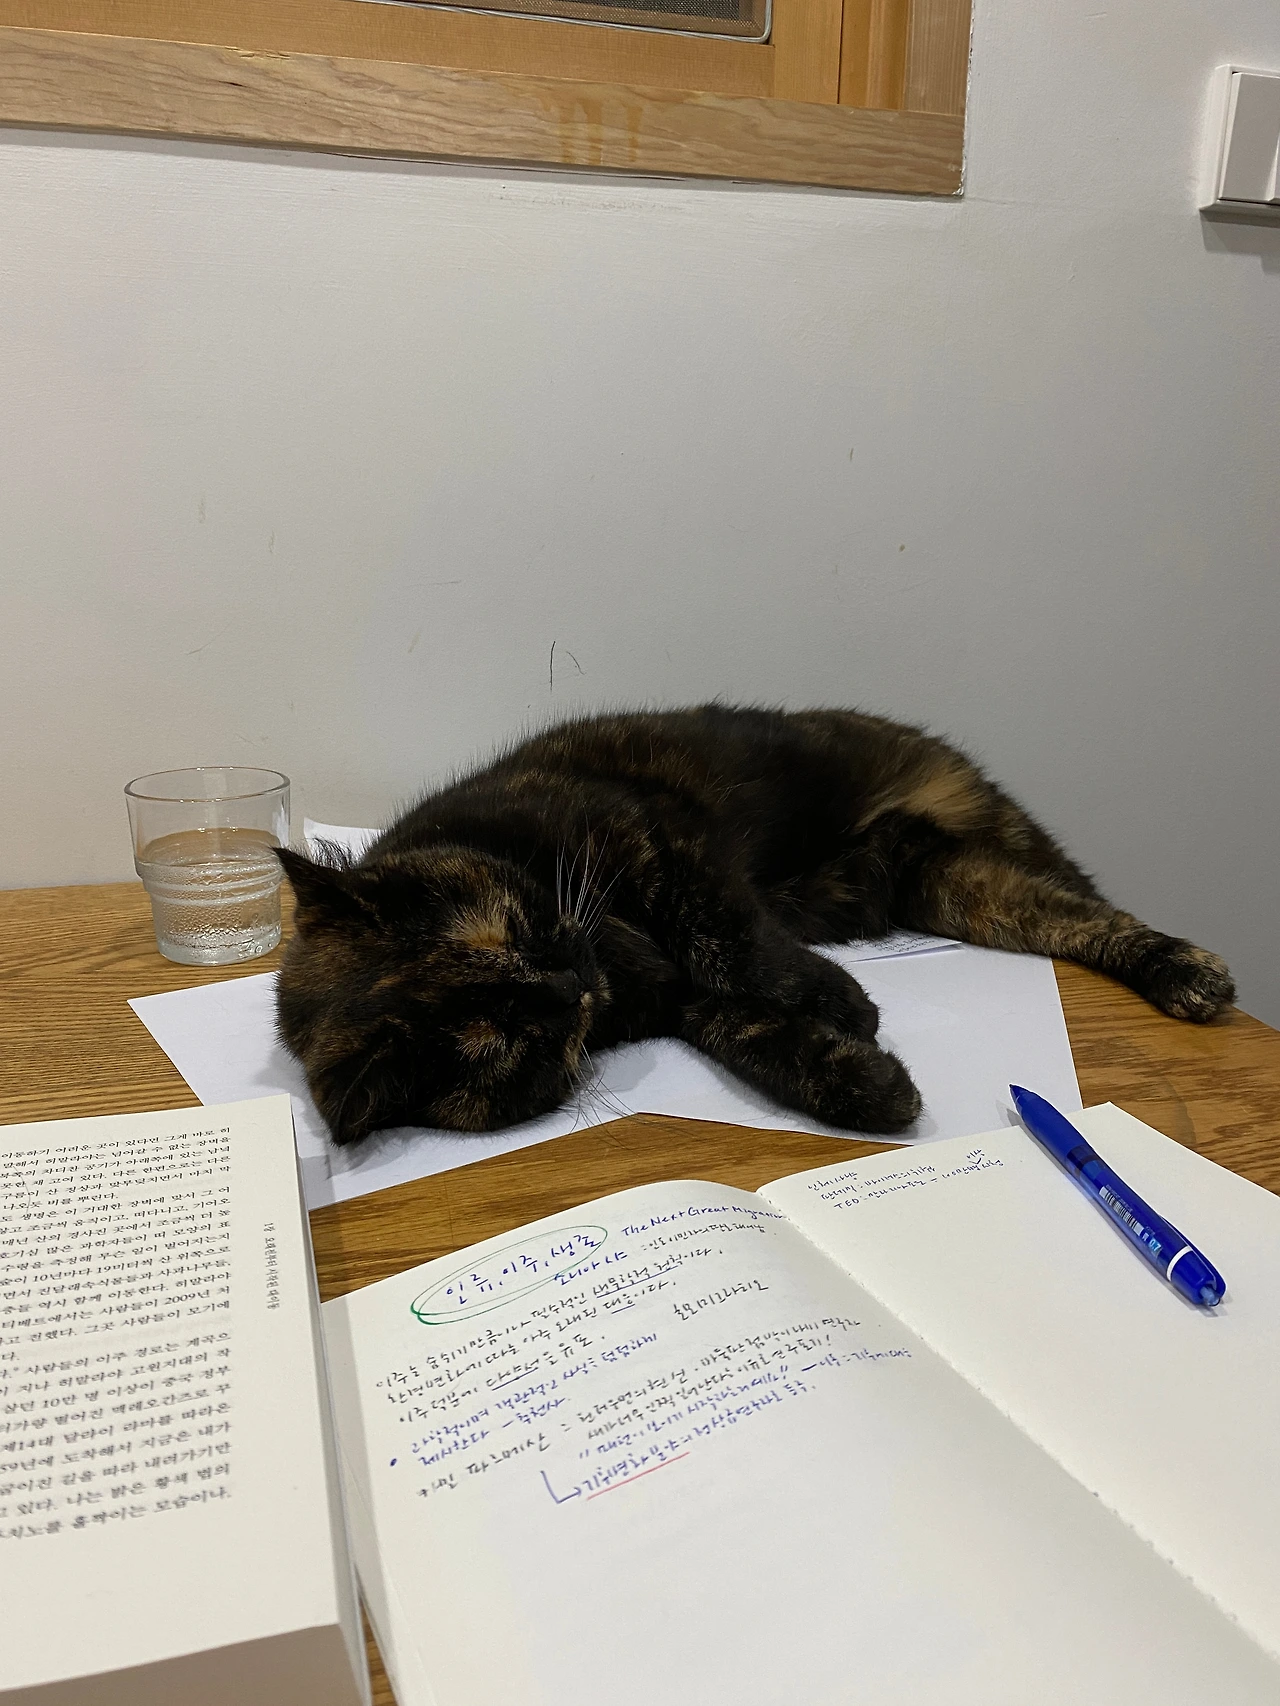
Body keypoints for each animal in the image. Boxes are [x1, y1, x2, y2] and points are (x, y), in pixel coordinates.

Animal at [274, 706, 1234, 1147]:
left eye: (510, 929)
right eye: (514, 1035)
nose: (567, 983)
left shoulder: (655, 835)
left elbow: (725, 935)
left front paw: (837, 999)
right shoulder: (671, 1001)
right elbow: (748, 1029)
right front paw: (862, 1079)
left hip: (993, 857)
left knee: (1097, 911)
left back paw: (1188, 972)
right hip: (955, 885)